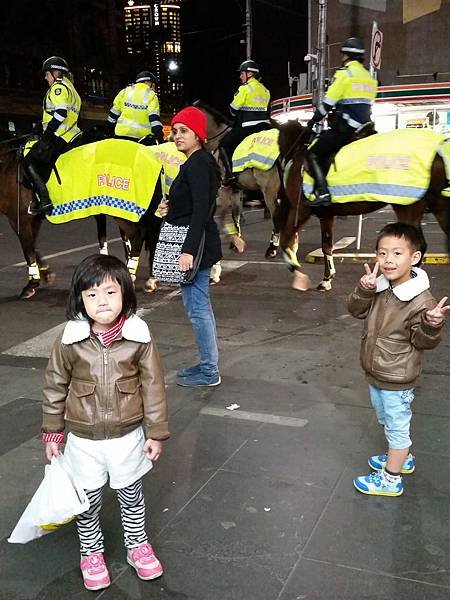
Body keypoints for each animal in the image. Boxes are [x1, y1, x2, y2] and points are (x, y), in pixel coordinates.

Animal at [192, 99, 298, 258]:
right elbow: (235, 214)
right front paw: (236, 240)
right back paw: (291, 244)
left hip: (269, 192)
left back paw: (272, 248)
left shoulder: (223, 188)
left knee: (277, 216)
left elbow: (222, 214)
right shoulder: (236, 189)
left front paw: (228, 236)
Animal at [276, 122, 450, 290]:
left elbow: (285, 240)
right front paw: (326, 279)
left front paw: (299, 275)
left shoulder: (301, 210)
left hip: (407, 207)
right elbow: (326, 246)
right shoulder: (326, 215)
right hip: (436, 207)